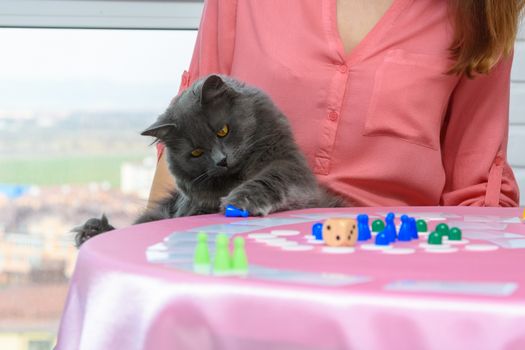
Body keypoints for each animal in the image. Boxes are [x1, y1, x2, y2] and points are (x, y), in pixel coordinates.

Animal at [72, 75, 344, 247]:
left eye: (223, 131)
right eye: (196, 152)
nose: (222, 161)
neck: (237, 176)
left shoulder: (289, 166)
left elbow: (268, 180)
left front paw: (240, 201)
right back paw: (91, 231)